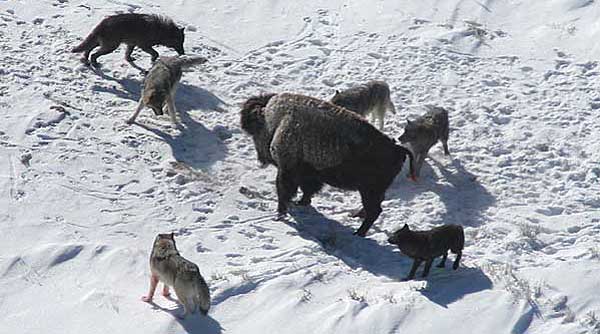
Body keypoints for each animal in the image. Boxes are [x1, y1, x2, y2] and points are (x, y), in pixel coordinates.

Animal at [238, 92, 412, 236]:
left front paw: (281, 213)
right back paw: (356, 216)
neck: (275, 121)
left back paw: (358, 233)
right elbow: (308, 190)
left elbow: (284, 191)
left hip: (369, 191)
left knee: (374, 211)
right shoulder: (309, 174)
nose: (261, 159)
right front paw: (301, 203)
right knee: (374, 208)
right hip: (372, 191)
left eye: (254, 131)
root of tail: (397, 149)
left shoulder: (287, 171)